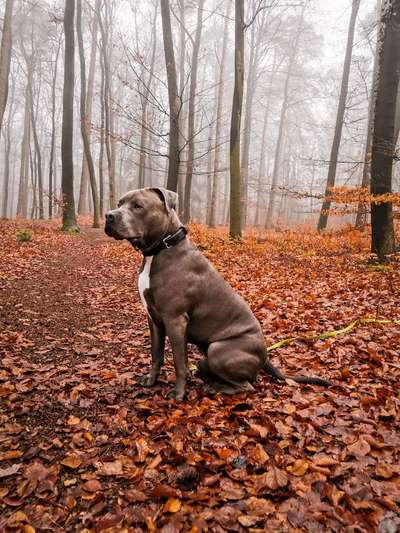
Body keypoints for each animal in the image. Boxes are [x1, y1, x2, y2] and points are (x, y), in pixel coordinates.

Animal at [104, 187, 330, 400]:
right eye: (120, 203)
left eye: (138, 206)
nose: (108, 215)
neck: (161, 248)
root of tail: (265, 356)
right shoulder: (154, 319)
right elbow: (156, 355)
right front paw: (151, 381)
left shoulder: (175, 321)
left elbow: (179, 363)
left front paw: (179, 394)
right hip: (205, 358)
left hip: (218, 350)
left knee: (247, 386)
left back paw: (216, 388)